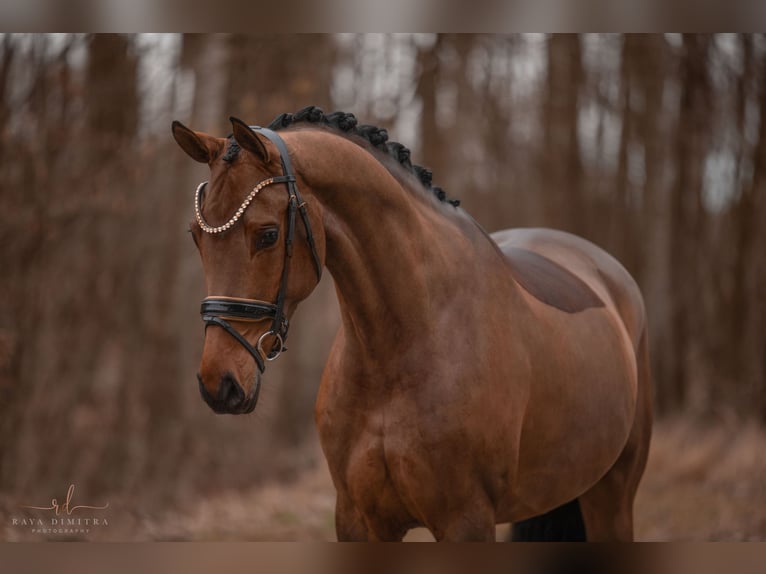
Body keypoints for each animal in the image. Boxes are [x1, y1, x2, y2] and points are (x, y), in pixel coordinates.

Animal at [174, 108, 656, 544]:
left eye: (268, 235)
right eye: (195, 237)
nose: (219, 383)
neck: (402, 348)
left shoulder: (466, 521)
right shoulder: (358, 520)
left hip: (612, 496)